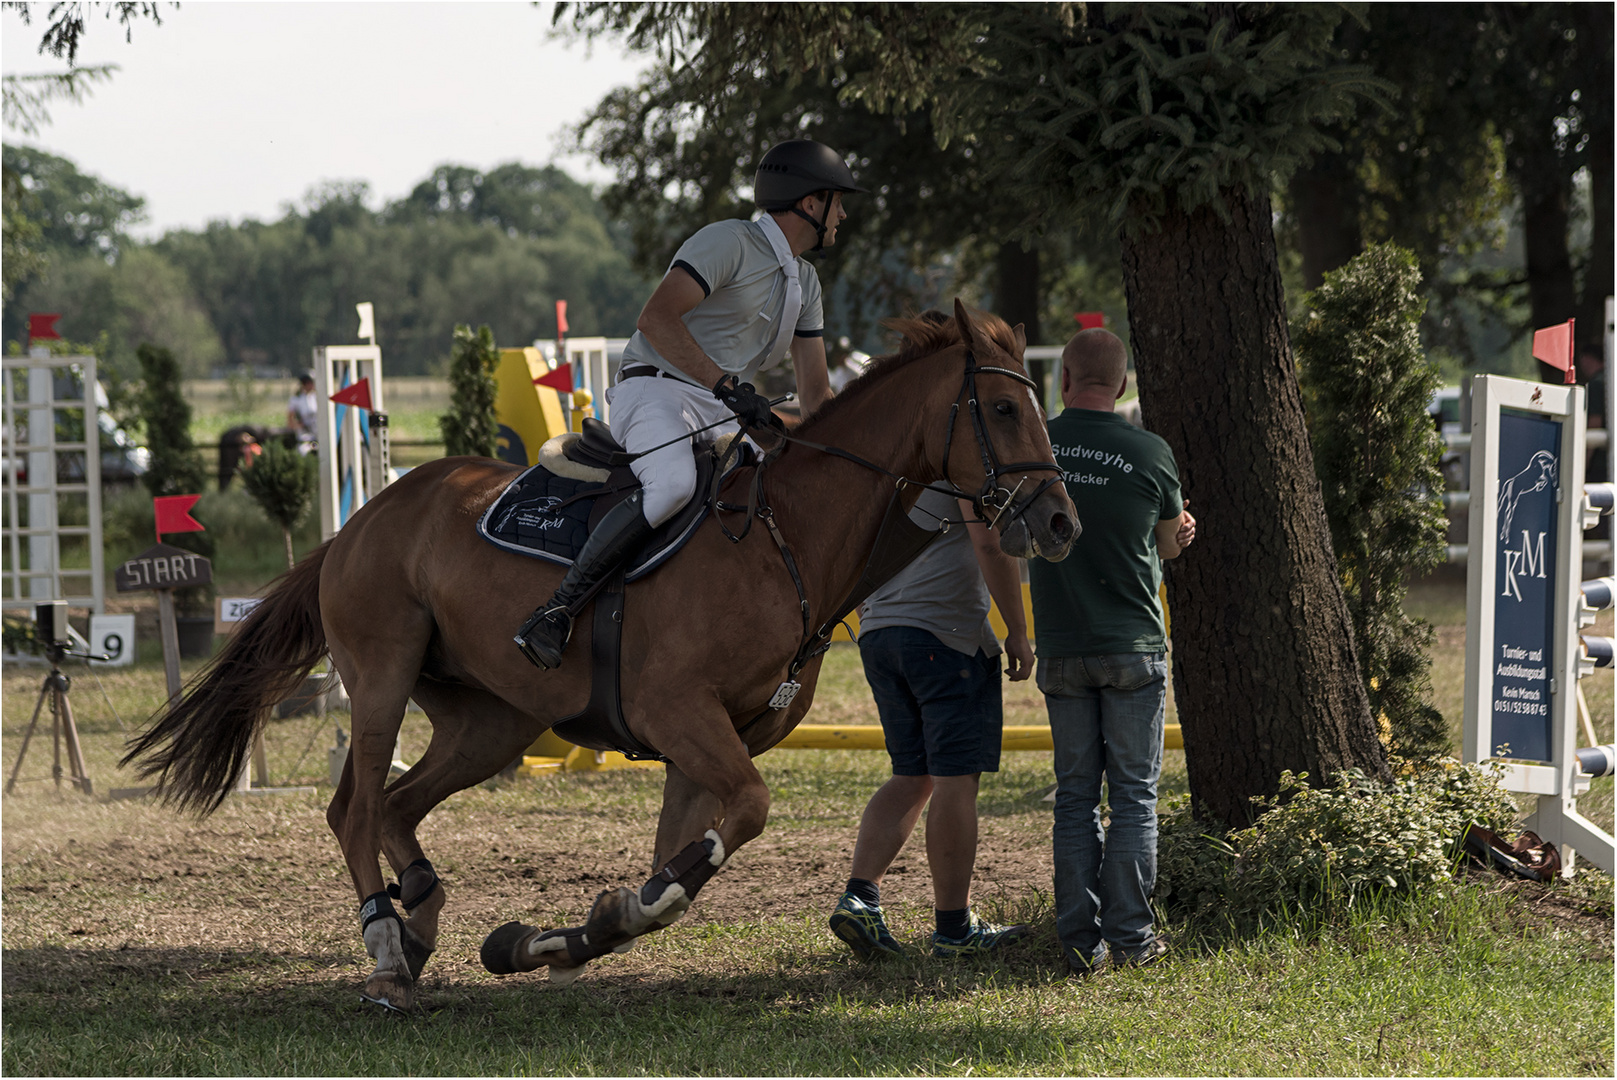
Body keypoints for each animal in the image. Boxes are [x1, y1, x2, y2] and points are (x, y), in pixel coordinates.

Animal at [122, 299, 1073, 1008]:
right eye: (1000, 409)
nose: (1060, 522)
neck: (785, 538)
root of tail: (367, 516)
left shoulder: (706, 746)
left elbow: (674, 875)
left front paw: (555, 938)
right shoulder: (679, 715)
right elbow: (746, 816)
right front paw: (576, 929)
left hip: (492, 723)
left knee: (394, 804)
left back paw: (420, 916)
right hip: (382, 675)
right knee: (352, 809)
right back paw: (387, 949)